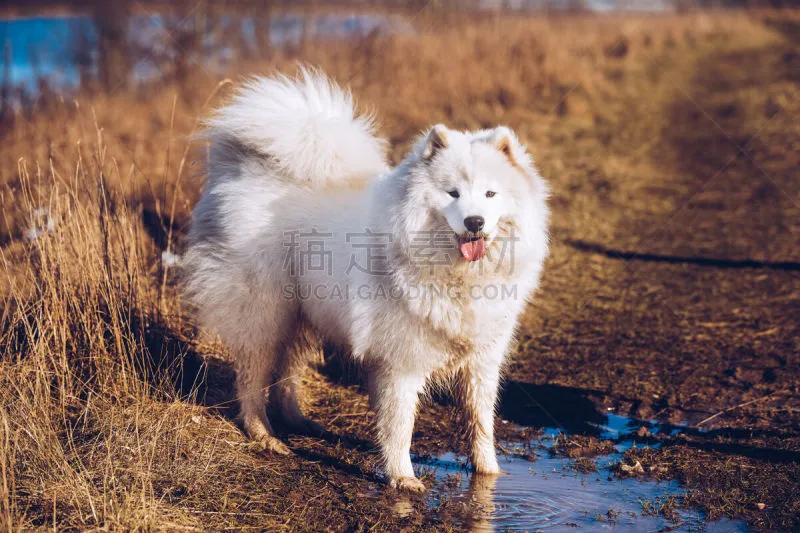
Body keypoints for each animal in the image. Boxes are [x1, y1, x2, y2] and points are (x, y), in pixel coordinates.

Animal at [185, 69, 552, 490]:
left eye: (491, 193)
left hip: (302, 312)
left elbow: (481, 422)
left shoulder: (481, 362)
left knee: (286, 371)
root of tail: (240, 173)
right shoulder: (401, 361)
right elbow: (400, 425)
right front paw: (402, 477)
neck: (457, 274)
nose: (474, 222)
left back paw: (299, 421)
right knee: (251, 379)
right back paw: (264, 435)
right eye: (453, 193)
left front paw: (488, 472)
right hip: (264, 312)